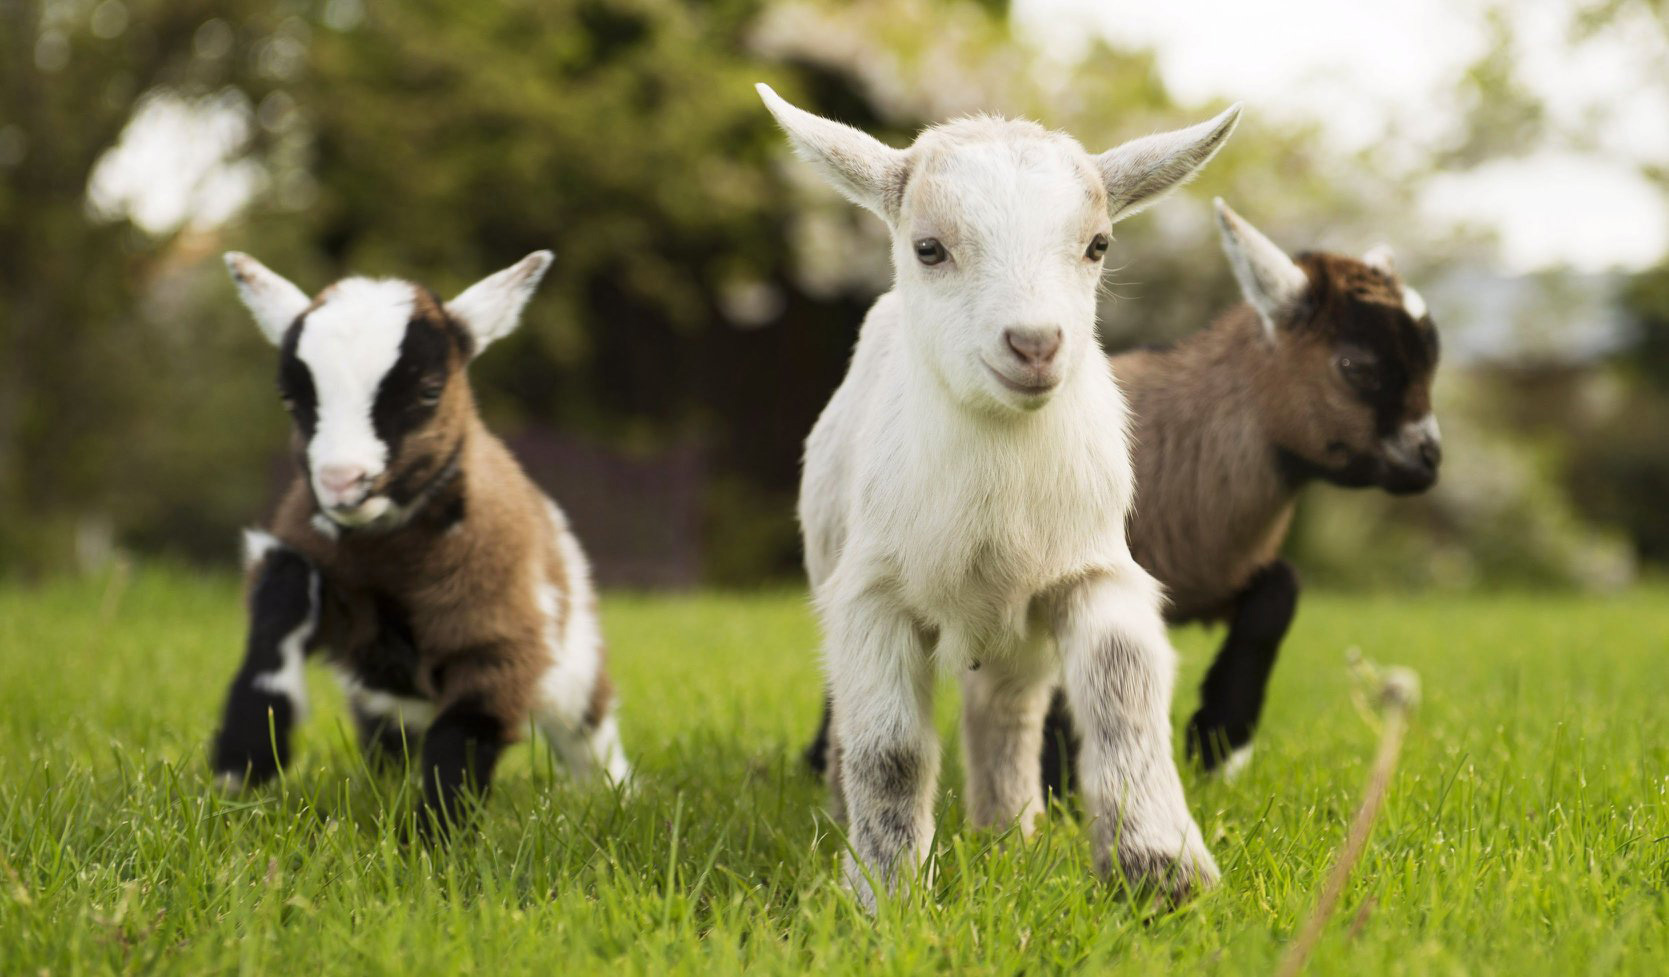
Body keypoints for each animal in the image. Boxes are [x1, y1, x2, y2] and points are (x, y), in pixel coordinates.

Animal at [212, 251, 629, 833]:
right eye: (290, 398)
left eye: (430, 391)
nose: (342, 482)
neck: (389, 558)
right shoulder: (321, 579)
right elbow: (282, 597)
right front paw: (243, 760)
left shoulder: (498, 638)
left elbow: (465, 733)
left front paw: (434, 841)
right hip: (385, 697)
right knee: (390, 736)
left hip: (576, 662)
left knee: (589, 733)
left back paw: (618, 796)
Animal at [759, 83, 1240, 906]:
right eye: (929, 248)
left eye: (1097, 245)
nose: (1035, 344)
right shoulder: (871, 596)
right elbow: (890, 750)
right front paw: (885, 892)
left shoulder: (1091, 569)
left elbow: (1122, 696)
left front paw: (1161, 873)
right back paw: (852, 820)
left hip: (1017, 634)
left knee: (1006, 711)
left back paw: (1007, 834)